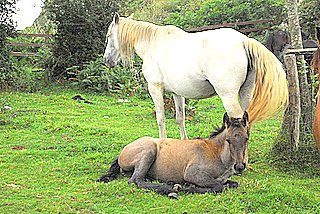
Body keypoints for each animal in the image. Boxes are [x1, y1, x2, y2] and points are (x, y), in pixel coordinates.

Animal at [97, 113, 250, 198]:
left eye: (246, 138)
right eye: (228, 140)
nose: (239, 166)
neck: (216, 153)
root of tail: (122, 153)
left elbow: (232, 183)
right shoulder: (192, 174)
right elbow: (218, 185)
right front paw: (187, 187)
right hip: (149, 151)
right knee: (136, 180)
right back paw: (170, 189)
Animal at [104, 13, 288, 140]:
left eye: (108, 36)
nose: (106, 61)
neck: (152, 44)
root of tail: (244, 41)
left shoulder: (155, 89)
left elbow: (161, 118)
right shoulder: (176, 94)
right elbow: (180, 118)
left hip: (228, 96)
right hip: (246, 93)